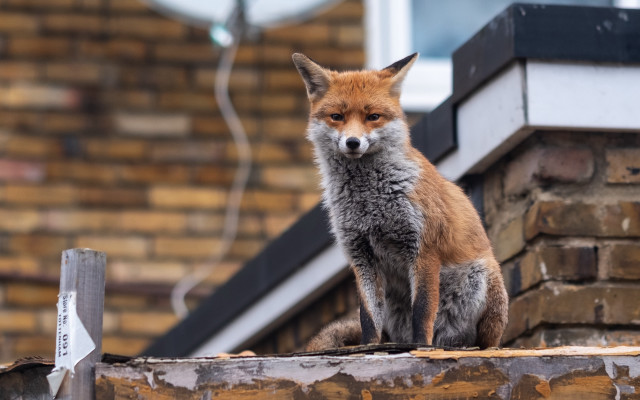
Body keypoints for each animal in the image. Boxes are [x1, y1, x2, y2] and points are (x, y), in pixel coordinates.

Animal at [292, 53, 509, 351]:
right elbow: (368, 319)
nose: (352, 142)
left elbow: (423, 311)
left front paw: (421, 348)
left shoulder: (424, 248)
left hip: (483, 278)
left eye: (373, 117)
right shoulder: (361, 257)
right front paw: (369, 349)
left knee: (483, 340)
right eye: (337, 117)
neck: (370, 202)